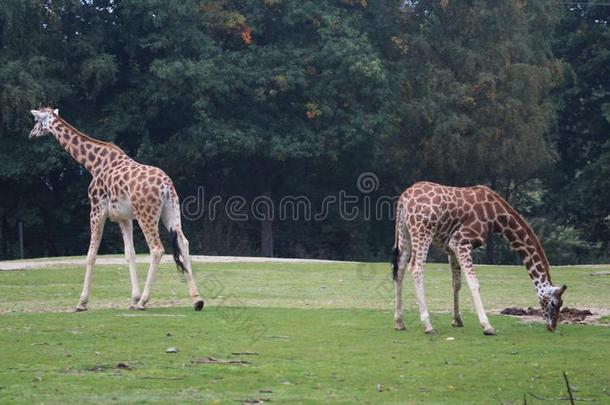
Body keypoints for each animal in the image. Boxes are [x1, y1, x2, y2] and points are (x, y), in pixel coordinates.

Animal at [29, 105, 204, 310]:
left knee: (157, 249)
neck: (92, 163)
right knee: (183, 242)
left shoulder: (96, 210)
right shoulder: (123, 217)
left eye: (37, 121)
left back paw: (144, 302)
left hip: (146, 215)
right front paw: (133, 298)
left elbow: (91, 254)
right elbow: (130, 254)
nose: (31, 134)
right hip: (171, 211)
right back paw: (197, 300)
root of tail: (166, 187)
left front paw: (82, 302)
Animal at [390, 182, 564, 334]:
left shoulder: (451, 248)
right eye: (554, 303)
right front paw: (487, 326)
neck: (496, 217)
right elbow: (474, 283)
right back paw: (428, 325)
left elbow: (457, 283)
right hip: (422, 231)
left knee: (399, 269)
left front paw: (457, 320)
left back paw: (399, 322)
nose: (552, 327)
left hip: (404, 234)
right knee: (416, 267)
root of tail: (404, 199)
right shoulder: (461, 241)